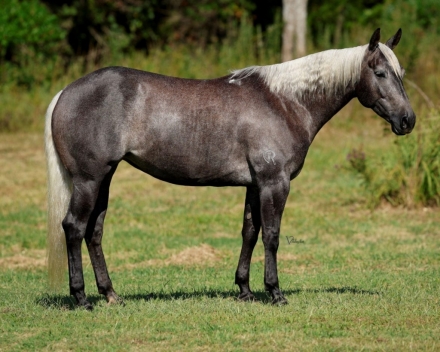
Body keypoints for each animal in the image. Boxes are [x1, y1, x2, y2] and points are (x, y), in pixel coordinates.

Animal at [45, 27, 416, 310]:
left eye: (400, 73)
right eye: (380, 73)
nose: (407, 120)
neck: (284, 102)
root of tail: (66, 91)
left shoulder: (254, 185)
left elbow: (249, 233)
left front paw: (245, 290)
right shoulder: (274, 183)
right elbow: (271, 235)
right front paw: (275, 292)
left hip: (104, 179)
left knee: (94, 233)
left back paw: (111, 294)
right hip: (89, 180)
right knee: (74, 228)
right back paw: (81, 298)